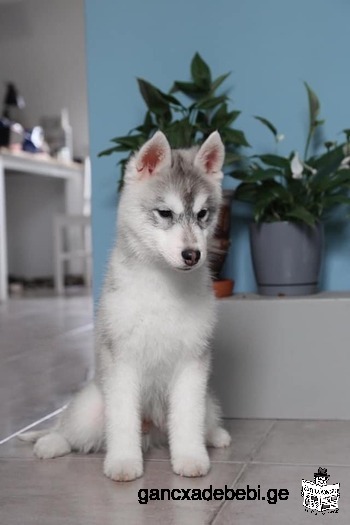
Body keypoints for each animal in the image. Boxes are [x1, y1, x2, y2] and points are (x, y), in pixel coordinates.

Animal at [20, 130, 231, 478]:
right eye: (165, 213)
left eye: (203, 214)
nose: (193, 255)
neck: (164, 284)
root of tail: (153, 432)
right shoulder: (121, 360)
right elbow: (121, 420)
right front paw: (123, 462)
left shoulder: (192, 362)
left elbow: (188, 417)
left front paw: (190, 457)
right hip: (91, 406)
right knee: (70, 430)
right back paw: (50, 443)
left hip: (209, 401)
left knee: (204, 419)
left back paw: (214, 435)